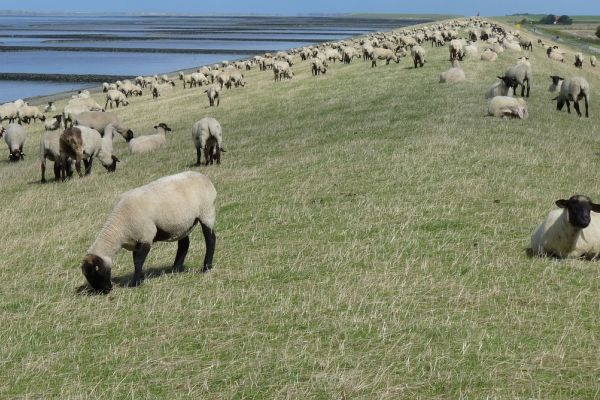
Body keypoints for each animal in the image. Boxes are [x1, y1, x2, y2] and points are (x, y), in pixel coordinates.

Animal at [79, 170, 218, 292]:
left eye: (97, 272)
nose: (104, 291)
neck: (120, 227)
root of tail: (204, 177)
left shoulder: (146, 235)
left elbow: (138, 261)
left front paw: (136, 282)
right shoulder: (136, 240)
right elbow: (136, 260)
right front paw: (140, 279)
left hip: (206, 212)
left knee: (210, 239)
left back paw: (206, 268)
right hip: (183, 224)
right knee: (184, 244)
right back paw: (175, 269)